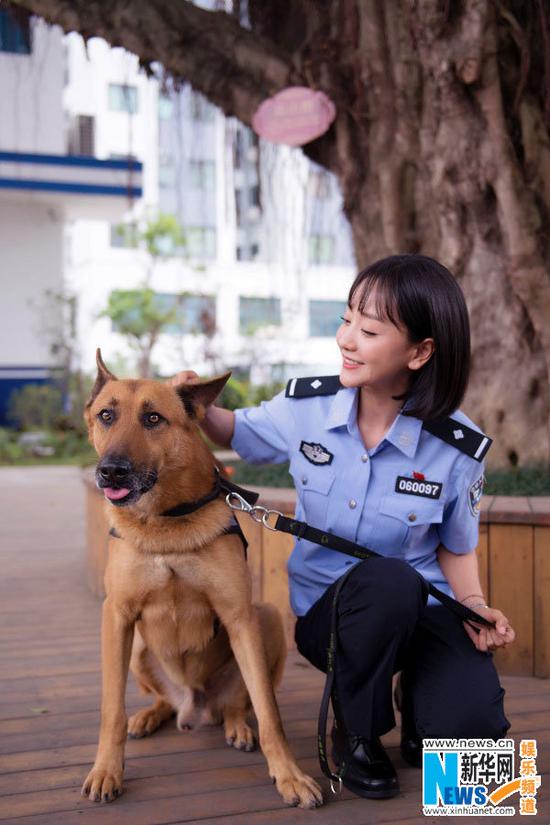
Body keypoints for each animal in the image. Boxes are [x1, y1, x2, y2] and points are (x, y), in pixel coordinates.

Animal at [81, 350, 324, 808]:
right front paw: (106, 771)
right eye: (106, 415)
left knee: (239, 703)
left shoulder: (239, 615)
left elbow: (269, 713)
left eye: (153, 418)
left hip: (265, 619)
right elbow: (110, 711)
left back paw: (236, 726)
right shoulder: (116, 615)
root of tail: (194, 706)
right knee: (163, 701)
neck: (164, 522)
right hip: (137, 648)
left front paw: (290, 775)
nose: (111, 472)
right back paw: (149, 716)